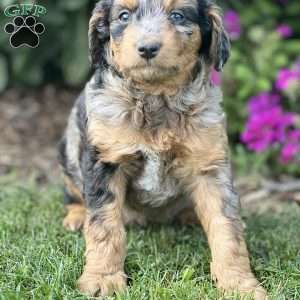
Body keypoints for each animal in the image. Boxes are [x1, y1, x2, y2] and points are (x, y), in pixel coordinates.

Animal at [58, 0, 268, 298]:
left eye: (178, 15)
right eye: (124, 16)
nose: (147, 48)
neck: (156, 97)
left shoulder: (210, 165)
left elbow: (227, 227)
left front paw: (239, 284)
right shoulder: (105, 159)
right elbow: (104, 226)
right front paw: (102, 278)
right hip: (69, 148)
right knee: (73, 192)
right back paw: (77, 216)